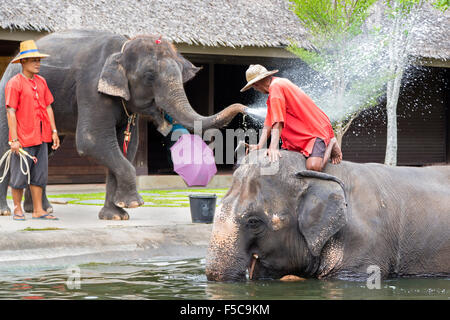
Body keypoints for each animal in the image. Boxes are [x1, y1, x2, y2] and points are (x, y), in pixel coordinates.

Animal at [0, 30, 246, 219]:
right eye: (149, 76)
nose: (244, 107)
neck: (122, 47)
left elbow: (126, 146)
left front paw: (116, 215)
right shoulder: (91, 88)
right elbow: (92, 141)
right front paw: (134, 204)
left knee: (47, 150)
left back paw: (41, 210)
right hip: (7, 93)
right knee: (7, 147)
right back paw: (7, 212)